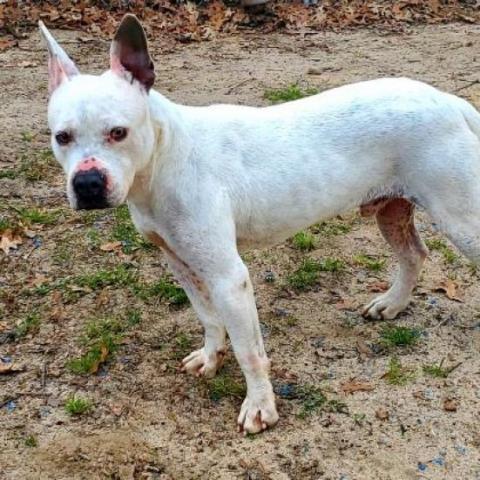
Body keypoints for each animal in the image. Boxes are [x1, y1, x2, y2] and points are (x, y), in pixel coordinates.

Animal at [39, 15, 480, 436]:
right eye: (62, 137)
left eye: (119, 132)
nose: (87, 183)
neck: (164, 158)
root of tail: (446, 99)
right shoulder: (181, 263)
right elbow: (207, 318)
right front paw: (211, 356)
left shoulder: (228, 277)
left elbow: (248, 350)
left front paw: (260, 407)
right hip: (392, 210)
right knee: (413, 255)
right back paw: (393, 304)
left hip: (459, 219)